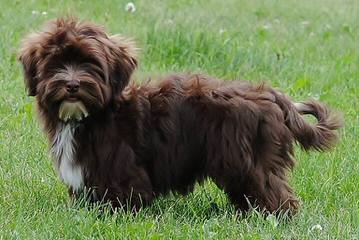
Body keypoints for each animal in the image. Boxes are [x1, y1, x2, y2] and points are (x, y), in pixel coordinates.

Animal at [17, 17, 344, 215]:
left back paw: (272, 217)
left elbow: (127, 194)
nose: (72, 85)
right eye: (55, 63)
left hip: (251, 160)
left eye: (90, 63)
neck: (92, 116)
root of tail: (273, 97)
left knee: (272, 191)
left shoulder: (123, 166)